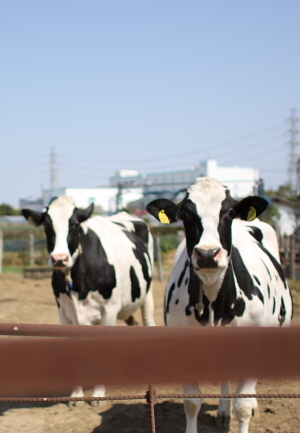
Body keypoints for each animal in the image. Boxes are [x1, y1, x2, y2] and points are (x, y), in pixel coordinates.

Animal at [22, 196, 156, 402]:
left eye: (75, 224)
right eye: (46, 224)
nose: (59, 258)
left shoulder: (109, 311)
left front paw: (99, 393)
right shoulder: (65, 314)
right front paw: (76, 394)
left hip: (147, 294)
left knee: (149, 322)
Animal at [146, 176, 292, 432]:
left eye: (230, 212)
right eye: (185, 214)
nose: (207, 254)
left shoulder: (254, 350)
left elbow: (242, 406)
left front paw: (245, 408)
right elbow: (191, 403)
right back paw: (224, 411)